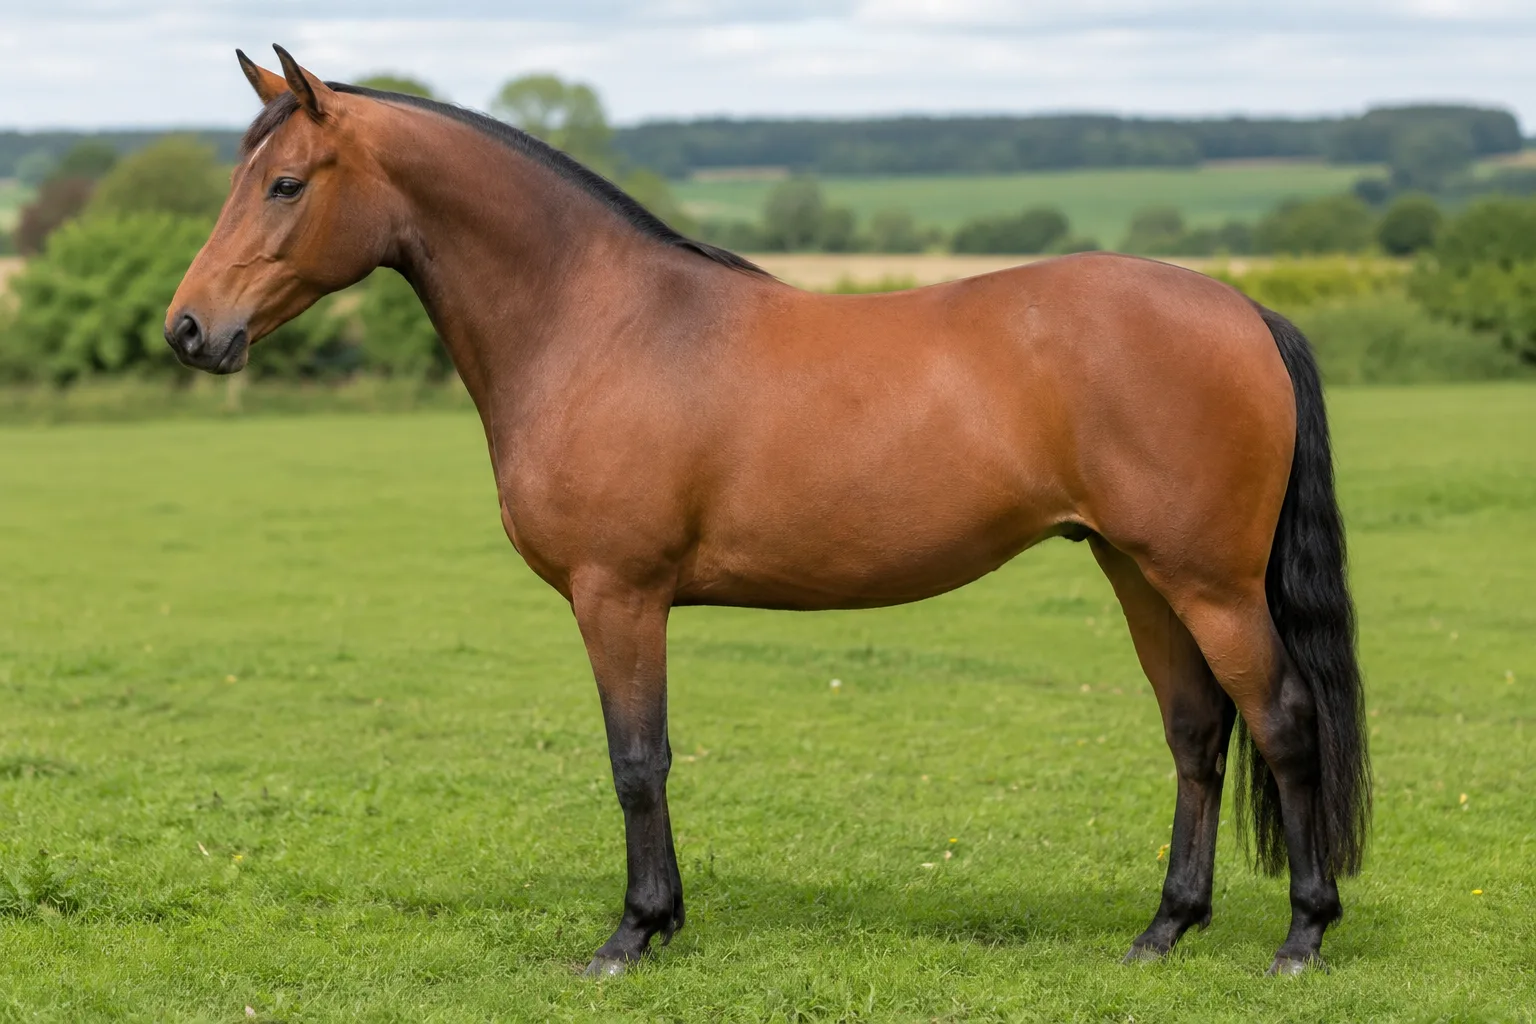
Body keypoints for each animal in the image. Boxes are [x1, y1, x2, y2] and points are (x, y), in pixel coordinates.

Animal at [167, 47, 1370, 978]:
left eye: (285, 184)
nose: (189, 329)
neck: (598, 322)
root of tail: (1242, 308)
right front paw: (661, 922)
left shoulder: (619, 594)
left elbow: (636, 759)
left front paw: (633, 934)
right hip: (1139, 570)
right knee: (1196, 731)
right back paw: (1165, 929)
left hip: (1208, 582)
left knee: (1282, 719)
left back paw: (1302, 936)